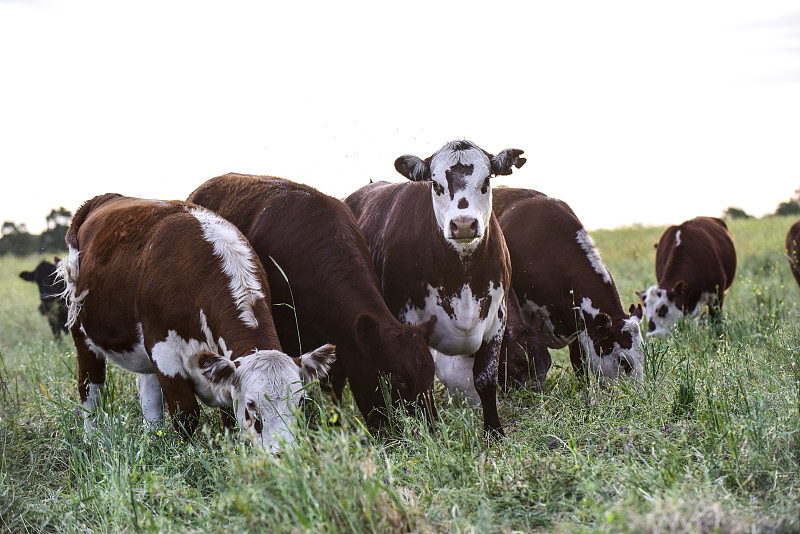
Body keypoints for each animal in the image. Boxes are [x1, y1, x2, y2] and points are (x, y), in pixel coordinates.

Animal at [56, 193, 336, 452]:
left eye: (300, 402)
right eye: (251, 404)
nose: (282, 453)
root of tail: (104, 199)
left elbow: (228, 420)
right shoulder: (164, 352)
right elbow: (186, 414)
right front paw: (187, 455)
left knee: (148, 394)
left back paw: (153, 438)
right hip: (81, 332)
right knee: (90, 388)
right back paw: (92, 439)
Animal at [344, 140, 524, 438]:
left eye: (486, 180)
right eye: (436, 183)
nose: (463, 224)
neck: (463, 276)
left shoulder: (497, 317)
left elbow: (486, 379)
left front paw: (493, 431)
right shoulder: (407, 323)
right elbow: (420, 381)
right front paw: (430, 429)